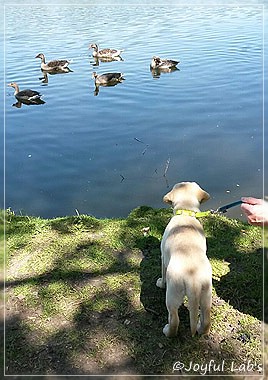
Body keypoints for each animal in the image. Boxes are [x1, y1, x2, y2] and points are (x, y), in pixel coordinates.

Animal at [157, 183, 211, 336]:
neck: (186, 213)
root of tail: (193, 281)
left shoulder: (163, 257)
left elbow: (162, 273)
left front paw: (160, 283)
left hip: (172, 294)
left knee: (174, 319)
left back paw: (167, 331)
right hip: (206, 295)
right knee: (206, 319)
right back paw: (200, 329)